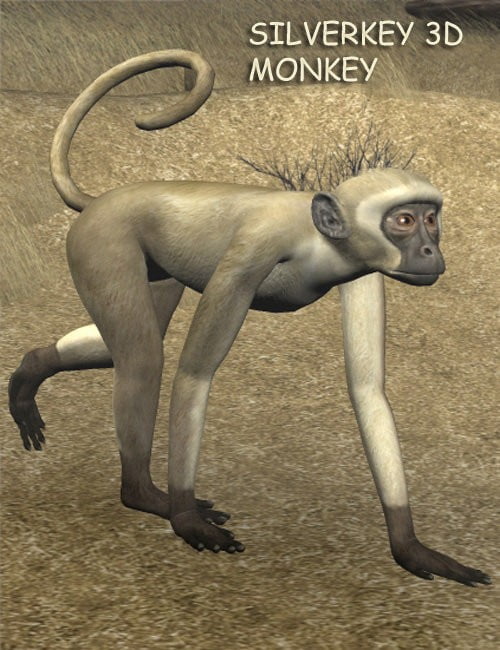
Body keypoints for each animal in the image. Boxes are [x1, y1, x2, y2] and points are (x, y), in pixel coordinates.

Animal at [9, 50, 490, 586]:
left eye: (431, 219)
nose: (431, 250)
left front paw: (410, 548)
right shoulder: (253, 252)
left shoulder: (364, 272)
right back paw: (145, 496)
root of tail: (103, 200)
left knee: (127, 346)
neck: (317, 240)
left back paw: (30, 368)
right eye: (404, 221)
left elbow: (368, 391)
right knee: (142, 357)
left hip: (151, 268)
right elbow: (194, 375)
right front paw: (185, 519)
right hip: (101, 241)